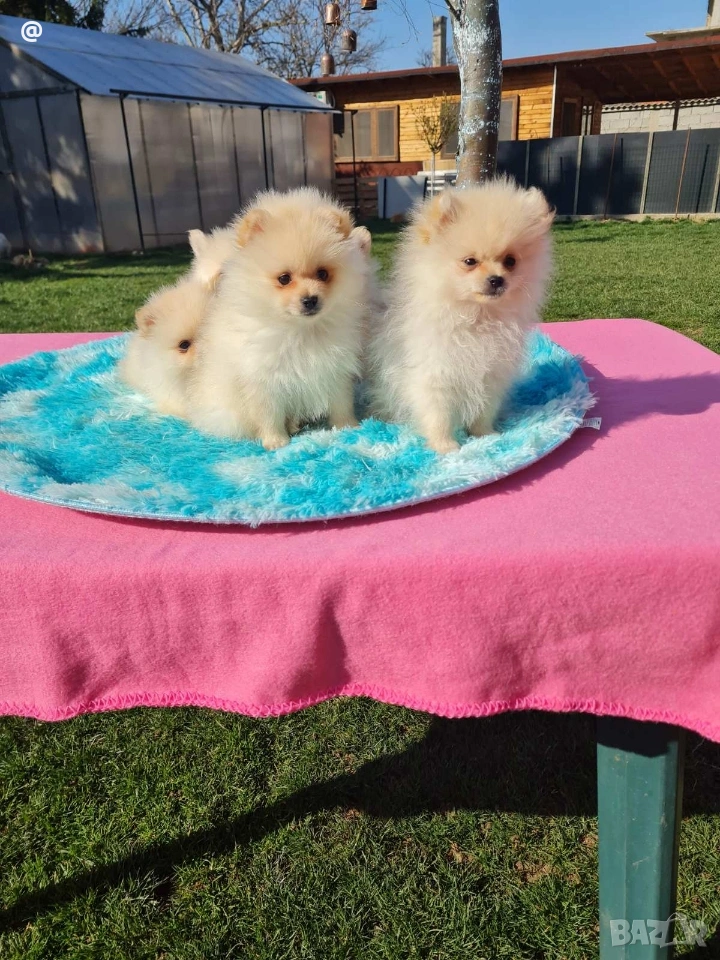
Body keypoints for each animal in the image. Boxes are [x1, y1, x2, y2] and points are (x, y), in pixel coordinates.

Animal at [187, 188, 370, 450]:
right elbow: (269, 413)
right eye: (284, 278)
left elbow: (341, 401)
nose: (310, 299)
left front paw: (348, 426)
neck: (300, 330)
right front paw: (275, 441)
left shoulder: (335, 368)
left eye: (323, 274)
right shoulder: (262, 377)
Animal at [368, 178, 554, 453]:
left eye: (510, 261)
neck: (475, 318)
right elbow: (439, 416)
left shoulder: (490, 376)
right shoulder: (435, 376)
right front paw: (446, 447)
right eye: (470, 261)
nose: (497, 280)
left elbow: (485, 410)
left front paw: (485, 436)